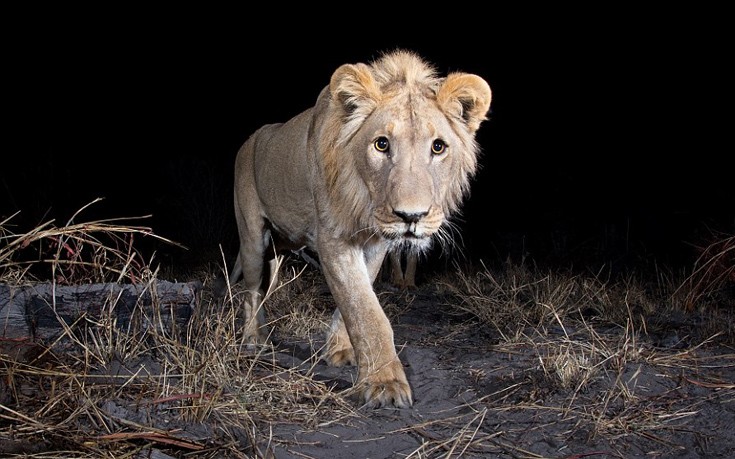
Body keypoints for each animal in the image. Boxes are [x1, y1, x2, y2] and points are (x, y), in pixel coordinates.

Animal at [227, 50, 492, 410]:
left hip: (276, 253)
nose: (412, 216)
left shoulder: (377, 244)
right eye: (381, 144)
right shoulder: (332, 239)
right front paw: (385, 384)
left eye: (438, 147)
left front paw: (340, 350)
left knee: (267, 287)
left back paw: (266, 332)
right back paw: (254, 338)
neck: (365, 201)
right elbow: (365, 310)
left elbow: (355, 299)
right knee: (252, 291)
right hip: (253, 239)